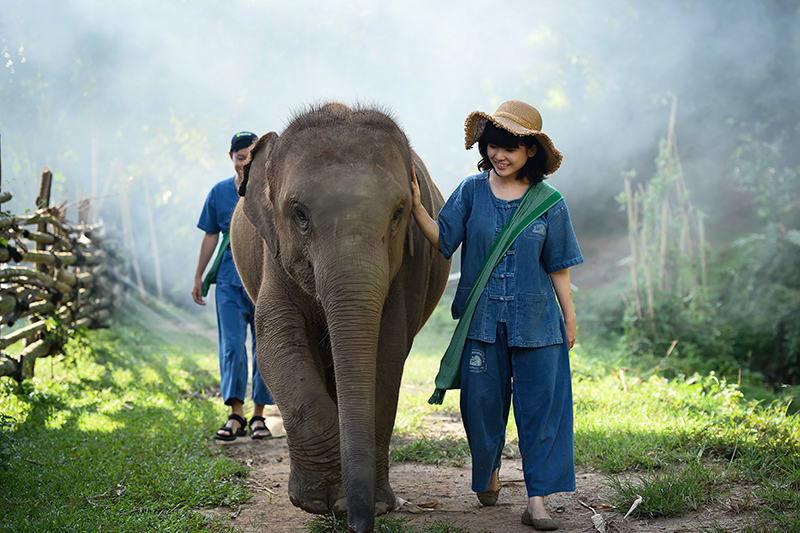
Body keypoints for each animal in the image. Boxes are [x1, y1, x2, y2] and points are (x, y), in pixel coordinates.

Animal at [230, 103, 450, 532]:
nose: (358, 523)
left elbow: (387, 352)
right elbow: (276, 343)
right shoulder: (274, 254)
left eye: (399, 213)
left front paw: (372, 504)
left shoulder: (410, 262)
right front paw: (318, 503)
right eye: (299, 214)